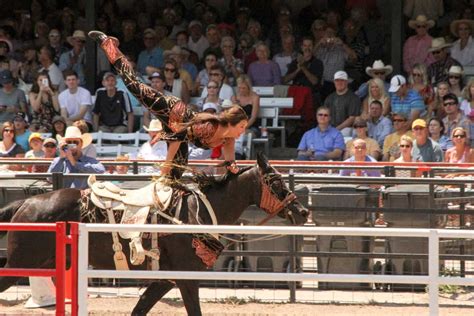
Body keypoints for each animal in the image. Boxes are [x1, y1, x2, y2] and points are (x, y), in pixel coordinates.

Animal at [0, 154, 308, 314]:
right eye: (276, 181)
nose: (303, 211)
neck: (194, 214)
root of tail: (26, 203)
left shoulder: (164, 280)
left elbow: (140, 308)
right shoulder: (187, 279)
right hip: (21, 263)